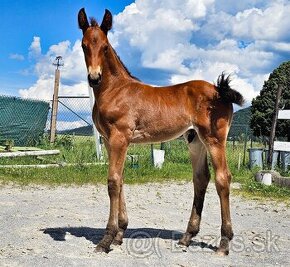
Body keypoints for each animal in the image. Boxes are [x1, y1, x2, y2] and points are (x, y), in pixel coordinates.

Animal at [77, 7, 245, 256]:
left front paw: (106, 239)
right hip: (195, 140)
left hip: (214, 139)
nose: (94, 78)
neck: (115, 89)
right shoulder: (109, 140)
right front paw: (119, 234)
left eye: (105, 47)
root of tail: (218, 90)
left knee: (223, 178)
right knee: (201, 178)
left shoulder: (119, 137)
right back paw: (187, 237)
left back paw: (224, 243)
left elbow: (113, 181)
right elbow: (121, 179)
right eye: (84, 45)